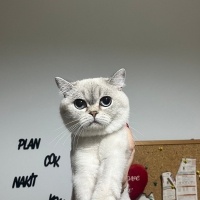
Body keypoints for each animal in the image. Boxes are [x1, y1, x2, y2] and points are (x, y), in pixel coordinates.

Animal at [55, 68, 132, 199]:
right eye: (79, 104)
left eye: (106, 101)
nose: (93, 113)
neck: (96, 139)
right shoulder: (84, 166)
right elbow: (84, 193)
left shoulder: (112, 159)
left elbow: (104, 188)